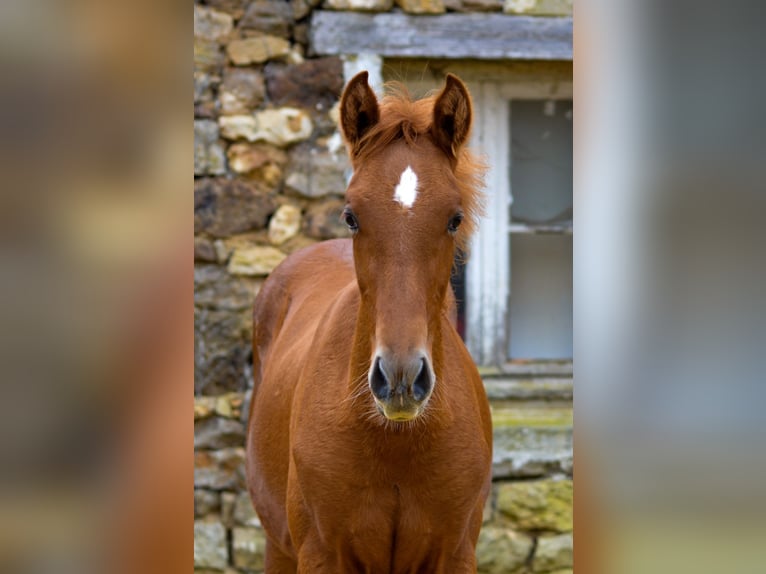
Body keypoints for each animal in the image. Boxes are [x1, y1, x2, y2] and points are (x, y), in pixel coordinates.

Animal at [249, 73, 496, 574]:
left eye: (454, 218)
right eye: (351, 216)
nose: (400, 377)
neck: (395, 441)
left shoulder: (456, 554)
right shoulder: (321, 556)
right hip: (278, 548)